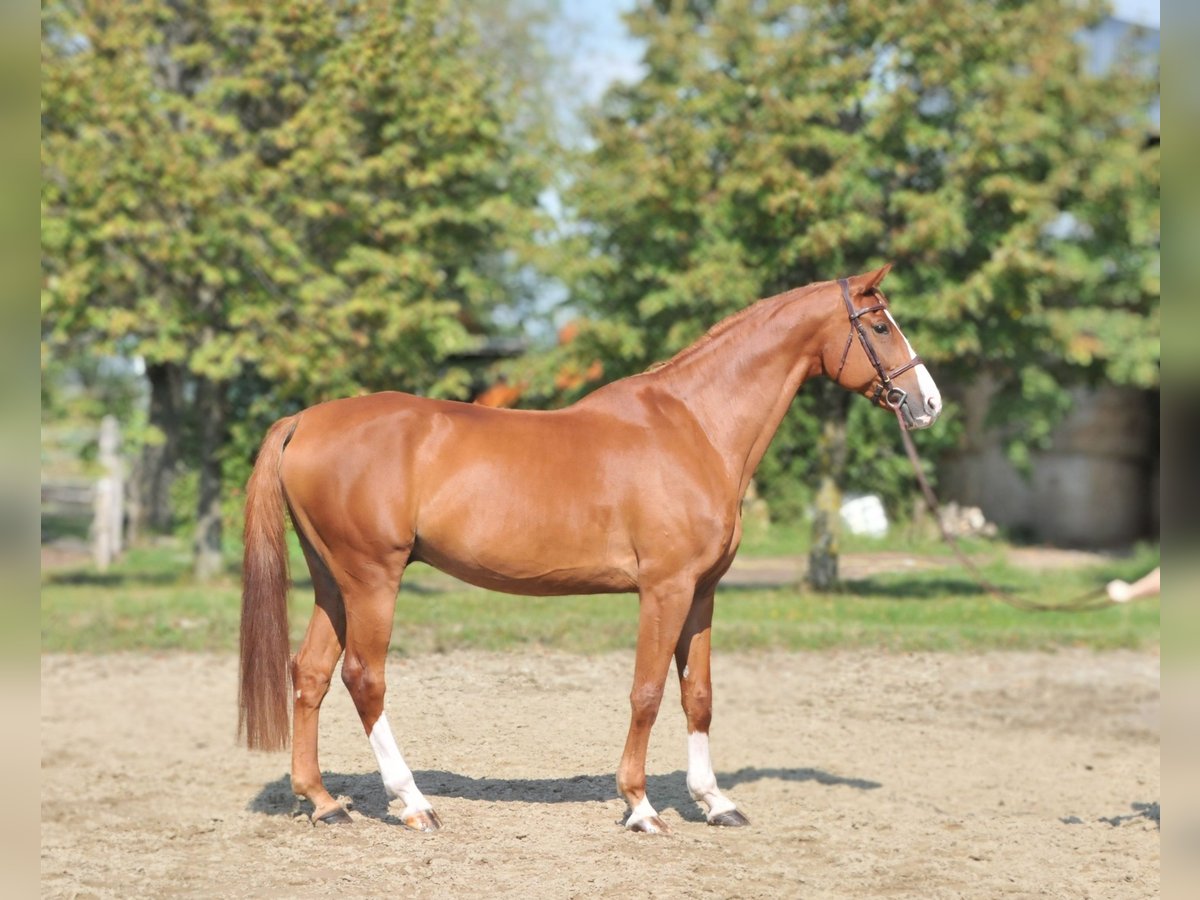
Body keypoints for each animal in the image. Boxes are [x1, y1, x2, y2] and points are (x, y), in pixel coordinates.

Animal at [238, 264, 940, 835]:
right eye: (880, 324)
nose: (928, 402)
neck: (695, 426)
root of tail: (306, 420)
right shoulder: (665, 588)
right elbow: (647, 692)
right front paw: (640, 807)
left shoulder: (702, 592)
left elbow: (699, 694)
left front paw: (715, 802)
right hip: (372, 579)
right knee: (364, 677)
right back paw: (412, 803)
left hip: (333, 582)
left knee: (310, 673)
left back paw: (324, 802)